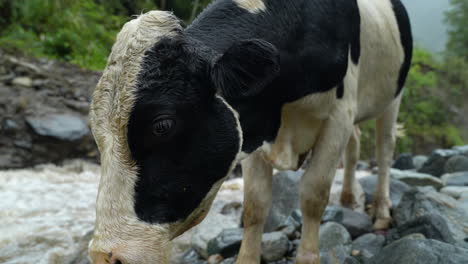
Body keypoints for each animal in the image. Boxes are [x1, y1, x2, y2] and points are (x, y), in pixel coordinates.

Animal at [89, 0, 412, 262]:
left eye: (162, 125)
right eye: (96, 130)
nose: (105, 256)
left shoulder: (339, 116)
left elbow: (313, 195)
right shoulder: (255, 121)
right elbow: (255, 204)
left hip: (393, 97)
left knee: (384, 151)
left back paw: (382, 211)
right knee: (356, 145)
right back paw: (347, 197)